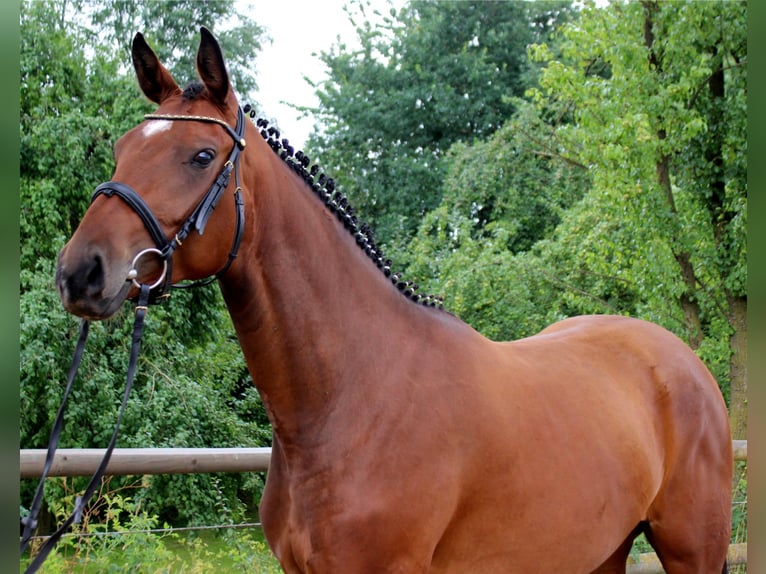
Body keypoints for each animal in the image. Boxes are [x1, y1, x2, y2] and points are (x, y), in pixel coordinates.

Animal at [57, 29, 736, 572]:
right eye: (122, 149)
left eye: (201, 156)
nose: (80, 273)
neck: (352, 395)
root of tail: (683, 362)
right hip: (599, 552)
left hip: (691, 550)